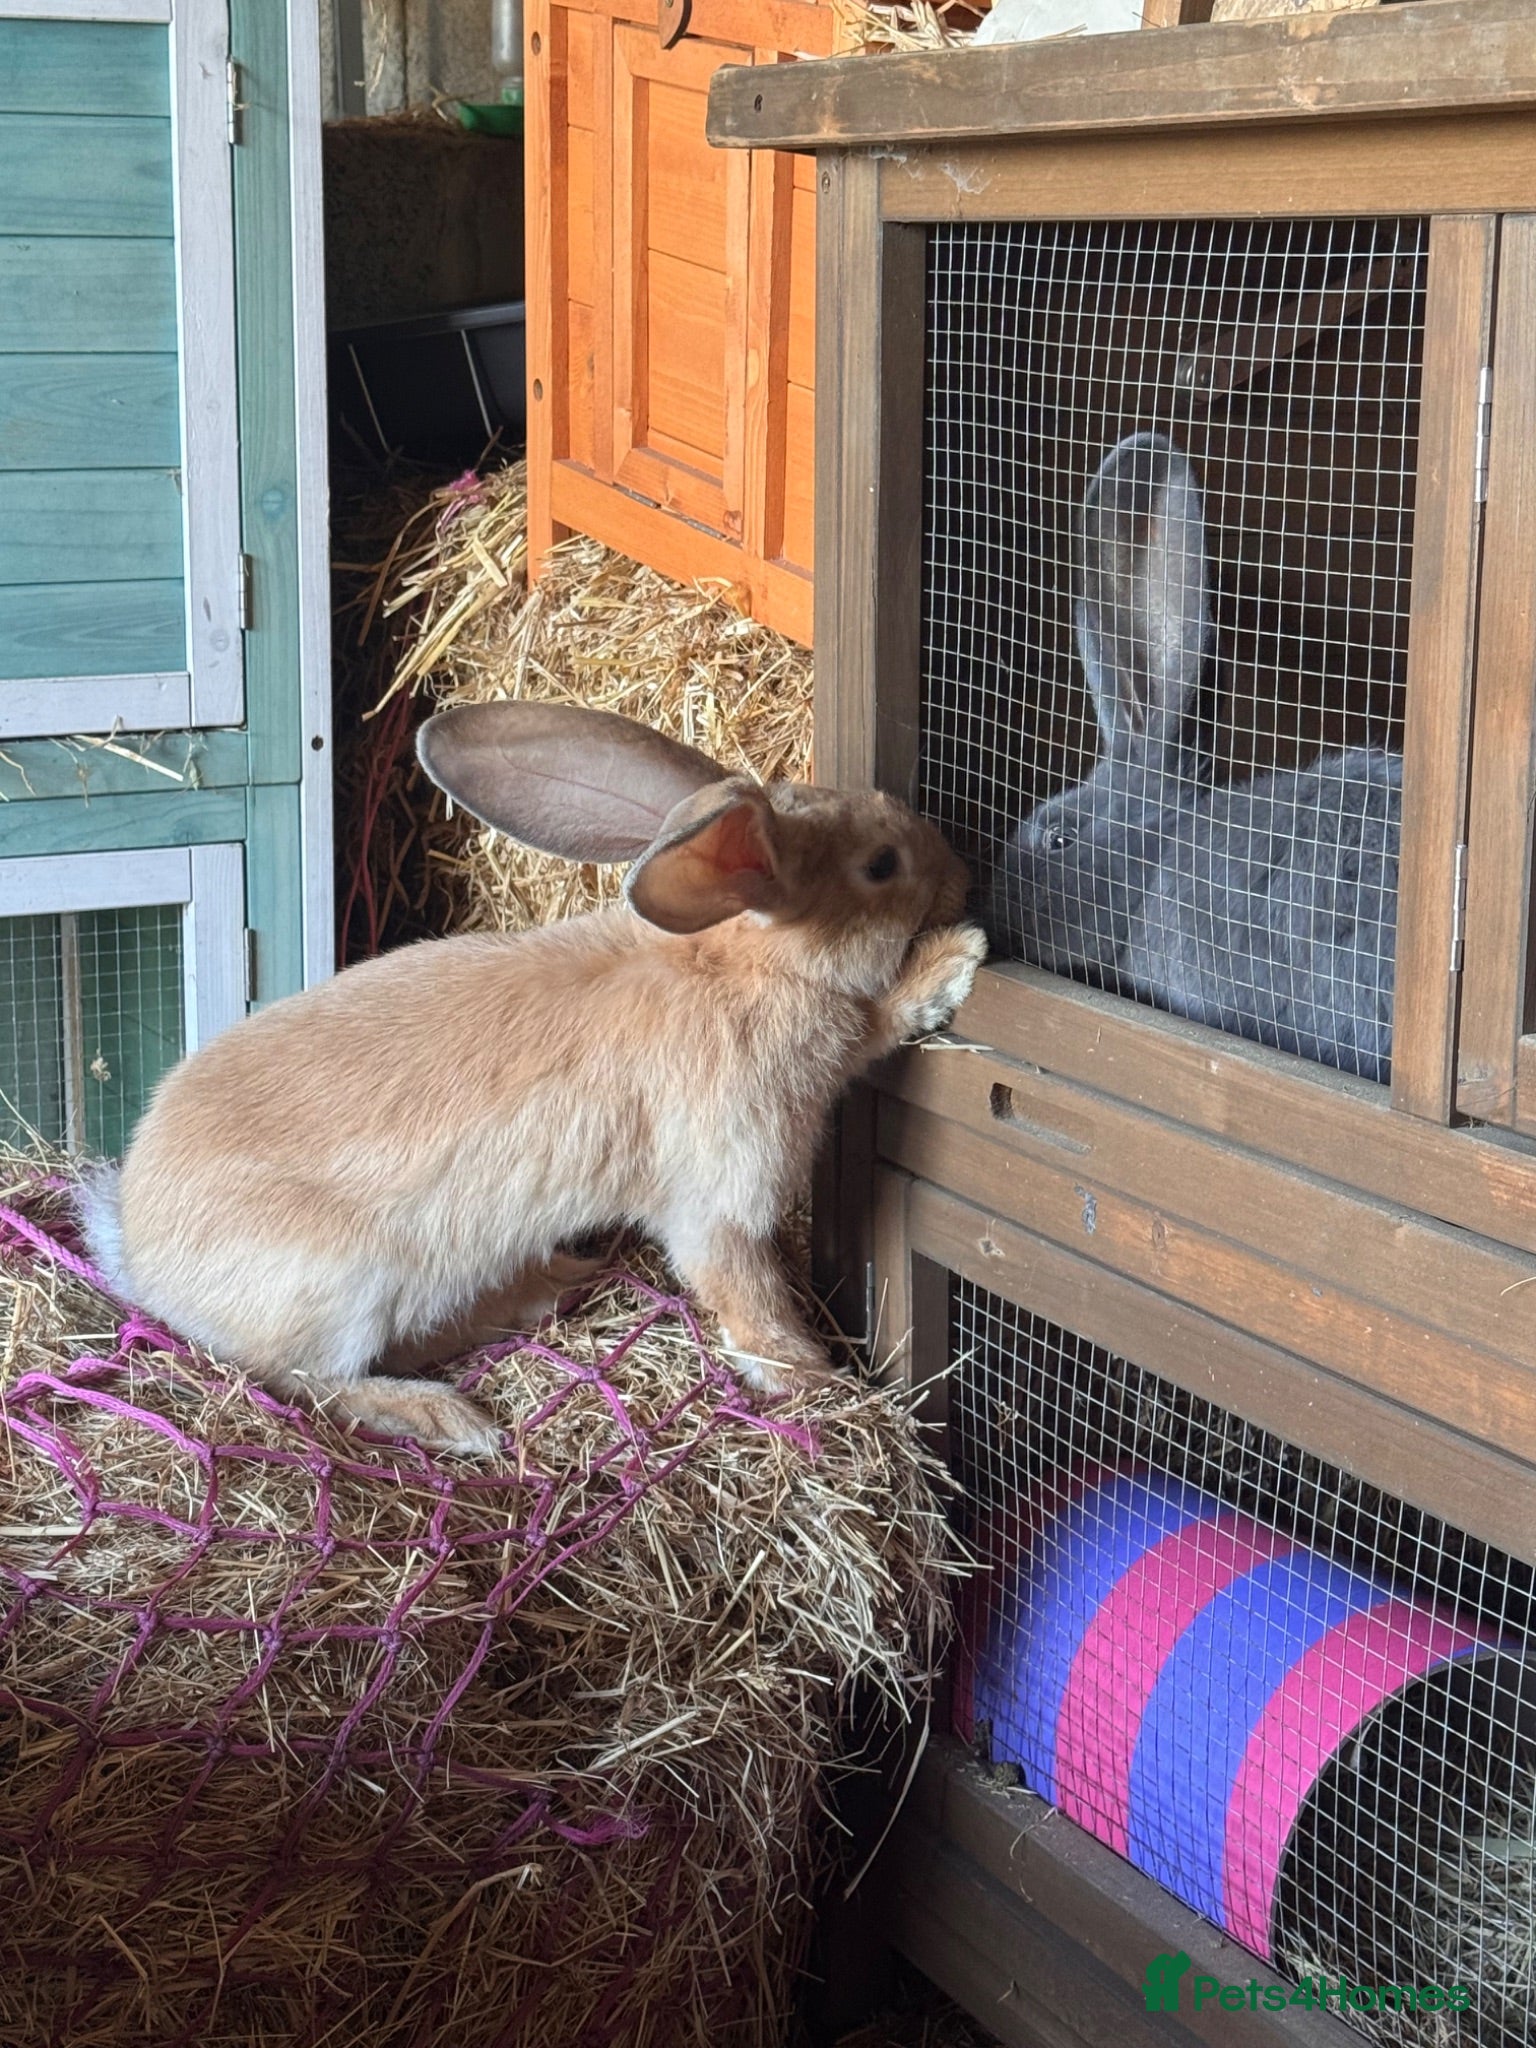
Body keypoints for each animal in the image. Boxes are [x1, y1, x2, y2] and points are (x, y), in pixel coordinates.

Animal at [79, 703, 985, 1455]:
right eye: (881, 865)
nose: (956, 868)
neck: (735, 962)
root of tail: (143, 1261)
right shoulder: (720, 1201)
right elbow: (750, 1296)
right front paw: (820, 1380)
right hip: (343, 1287)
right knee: (310, 1382)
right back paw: (452, 1418)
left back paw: (541, 1293)